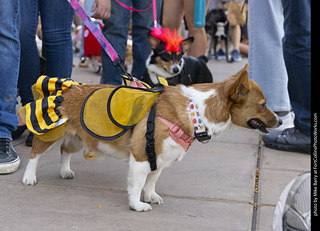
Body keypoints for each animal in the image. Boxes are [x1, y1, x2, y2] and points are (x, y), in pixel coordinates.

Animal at [22, 64, 282, 212]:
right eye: (263, 105)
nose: (280, 121)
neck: (195, 111)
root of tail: (70, 88)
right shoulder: (140, 158)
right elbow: (137, 185)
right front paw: (138, 204)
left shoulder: (160, 158)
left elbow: (151, 181)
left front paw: (150, 196)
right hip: (52, 132)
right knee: (35, 153)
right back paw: (29, 177)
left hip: (78, 138)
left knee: (64, 150)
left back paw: (65, 171)